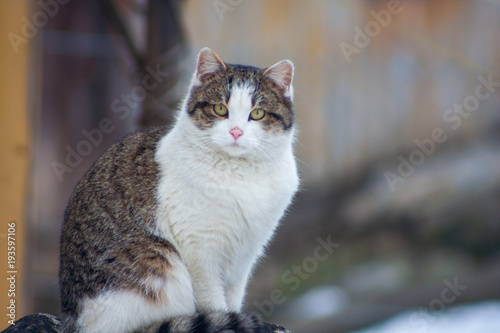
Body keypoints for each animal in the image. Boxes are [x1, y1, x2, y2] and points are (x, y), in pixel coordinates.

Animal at [60, 47, 298, 332]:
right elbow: (214, 302)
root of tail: (73, 321)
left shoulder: (245, 255)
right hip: (158, 261)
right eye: (220, 109)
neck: (241, 174)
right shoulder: (199, 250)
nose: (236, 132)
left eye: (258, 114)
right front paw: (226, 320)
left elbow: (233, 298)